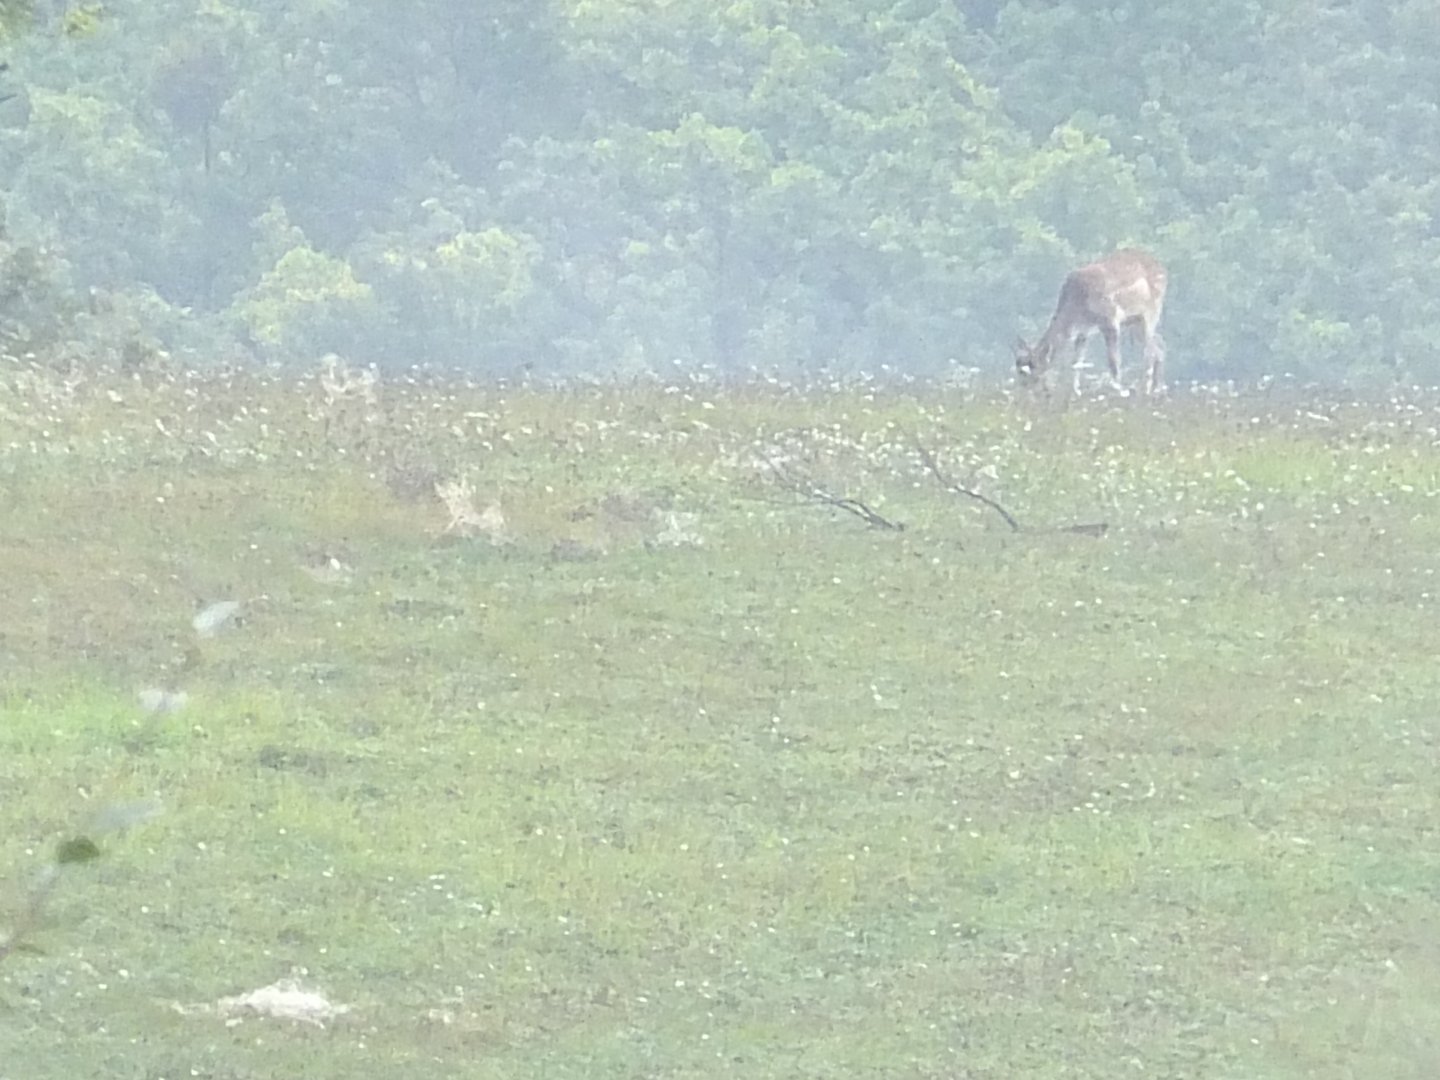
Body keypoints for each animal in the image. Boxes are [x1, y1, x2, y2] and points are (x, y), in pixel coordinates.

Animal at [1014, 248, 1168, 397]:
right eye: (1019, 370)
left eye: (1034, 369)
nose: (1024, 393)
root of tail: (1162, 269)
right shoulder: (1083, 331)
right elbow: (1077, 362)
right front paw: (1076, 392)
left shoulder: (1110, 321)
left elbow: (1114, 362)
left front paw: (1119, 391)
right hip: (1135, 321)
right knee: (1159, 344)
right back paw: (1157, 389)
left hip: (1151, 311)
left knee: (1150, 350)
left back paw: (1148, 390)